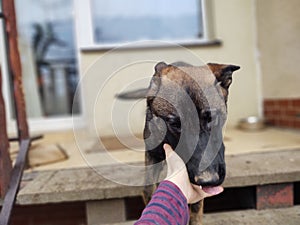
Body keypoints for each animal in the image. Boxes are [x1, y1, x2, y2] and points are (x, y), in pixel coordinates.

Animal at [116, 61, 239, 225]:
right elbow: (148, 189)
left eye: (212, 118)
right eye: (175, 124)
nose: (208, 179)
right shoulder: (152, 155)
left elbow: (196, 208)